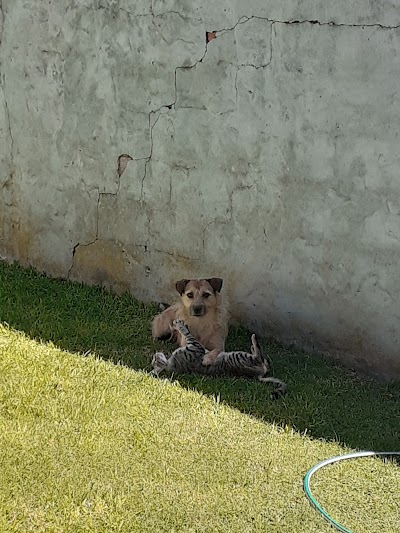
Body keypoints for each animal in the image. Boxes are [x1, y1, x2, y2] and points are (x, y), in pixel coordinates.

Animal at [151, 316, 288, 400]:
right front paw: (179, 325)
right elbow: (187, 333)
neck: (170, 363)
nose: (155, 355)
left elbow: (187, 333)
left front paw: (179, 325)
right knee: (259, 356)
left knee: (264, 360)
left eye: (154, 359)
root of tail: (258, 375)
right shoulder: (196, 347)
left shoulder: (197, 346)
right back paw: (254, 341)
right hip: (242, 357)